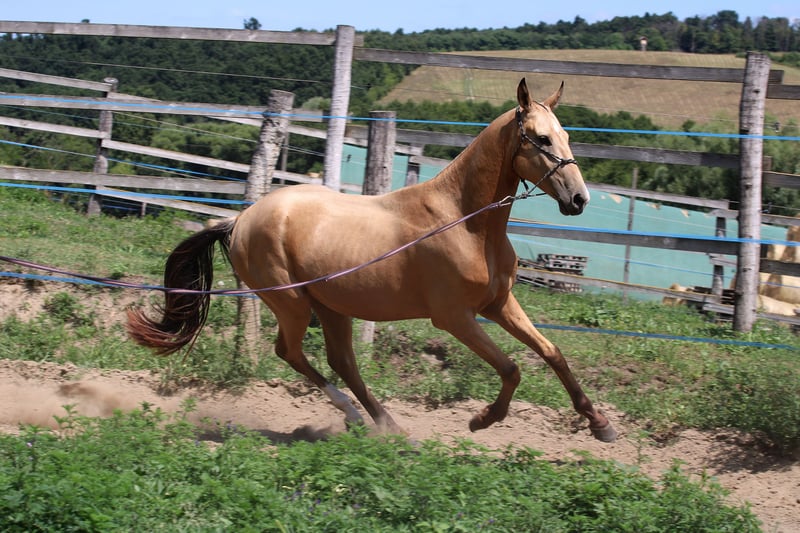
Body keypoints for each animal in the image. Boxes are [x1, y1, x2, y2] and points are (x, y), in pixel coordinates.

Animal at [127, 78, 617, 443]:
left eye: (566, 136)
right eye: (541, 139)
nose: (579, 199)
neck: (466, 223)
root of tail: (240, 219)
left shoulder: (499, 304)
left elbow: (552, 353)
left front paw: (600, 424)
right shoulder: (455, 317)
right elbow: (512, 368)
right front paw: (481, 420)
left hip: (330, 307)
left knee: (342, 361)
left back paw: (385, 424)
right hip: (292, 303)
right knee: (291, 352)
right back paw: (355, 416)